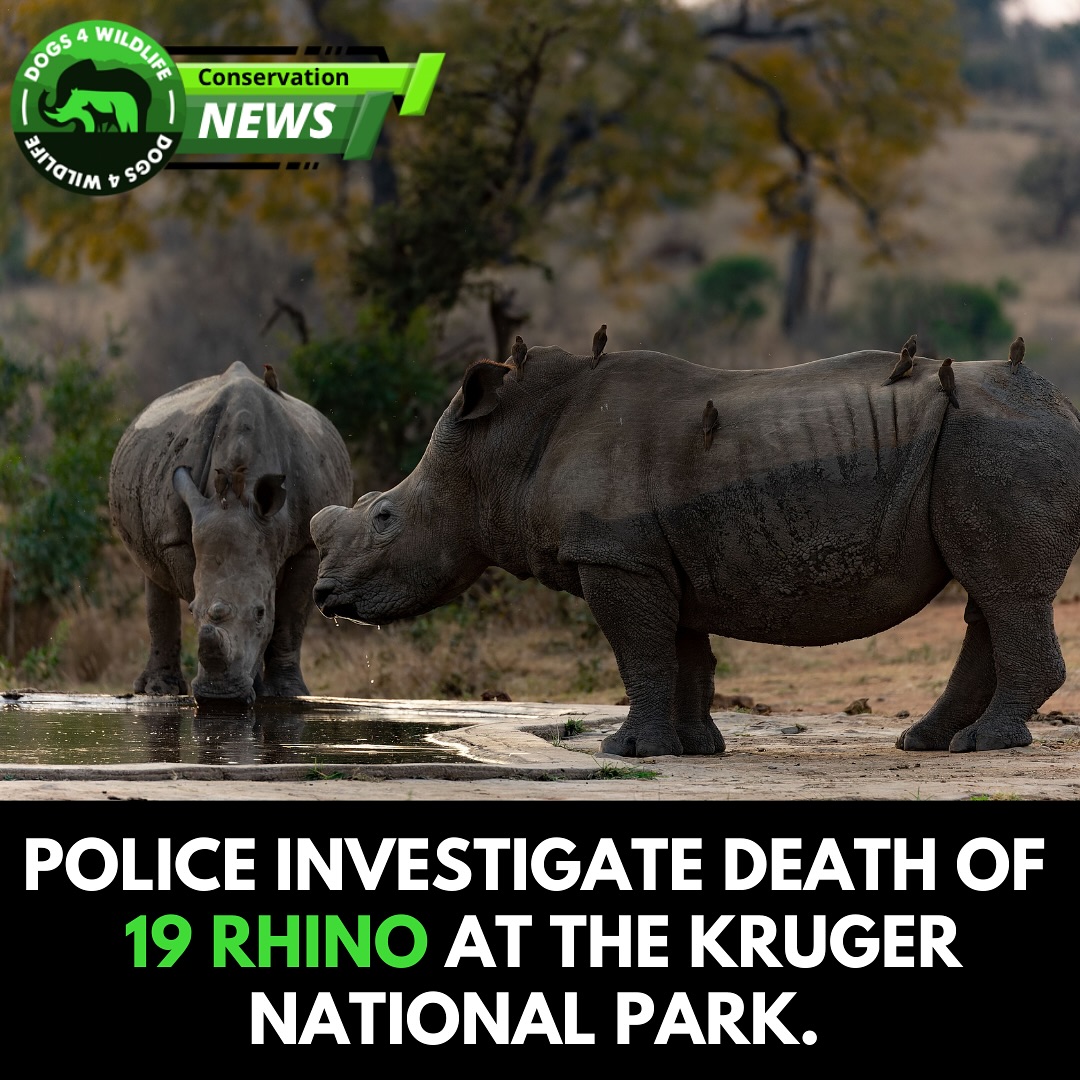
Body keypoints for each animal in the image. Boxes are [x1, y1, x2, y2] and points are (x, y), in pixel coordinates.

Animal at [110, 361, 352, 705]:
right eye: (193, 610)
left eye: (260, 612)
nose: (219, 697)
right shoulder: (179, 539)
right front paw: (248, 684)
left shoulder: (307, 547)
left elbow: (289, 615)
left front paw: (284, 693)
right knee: (153, 573)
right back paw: (158, 691)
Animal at [309, 347, 1080, 758]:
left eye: (385, 518)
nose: (324, 596)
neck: (498, 454)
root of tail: (1062, 406)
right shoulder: (652, 555)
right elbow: (682, 653)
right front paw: (693, 747)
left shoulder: (617, 555)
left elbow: (640, 652)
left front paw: (626, 750)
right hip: (981, 446)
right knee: (988, 596)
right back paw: (930, 741)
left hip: (994, 443)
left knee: (1003, 592)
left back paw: (985, 744)